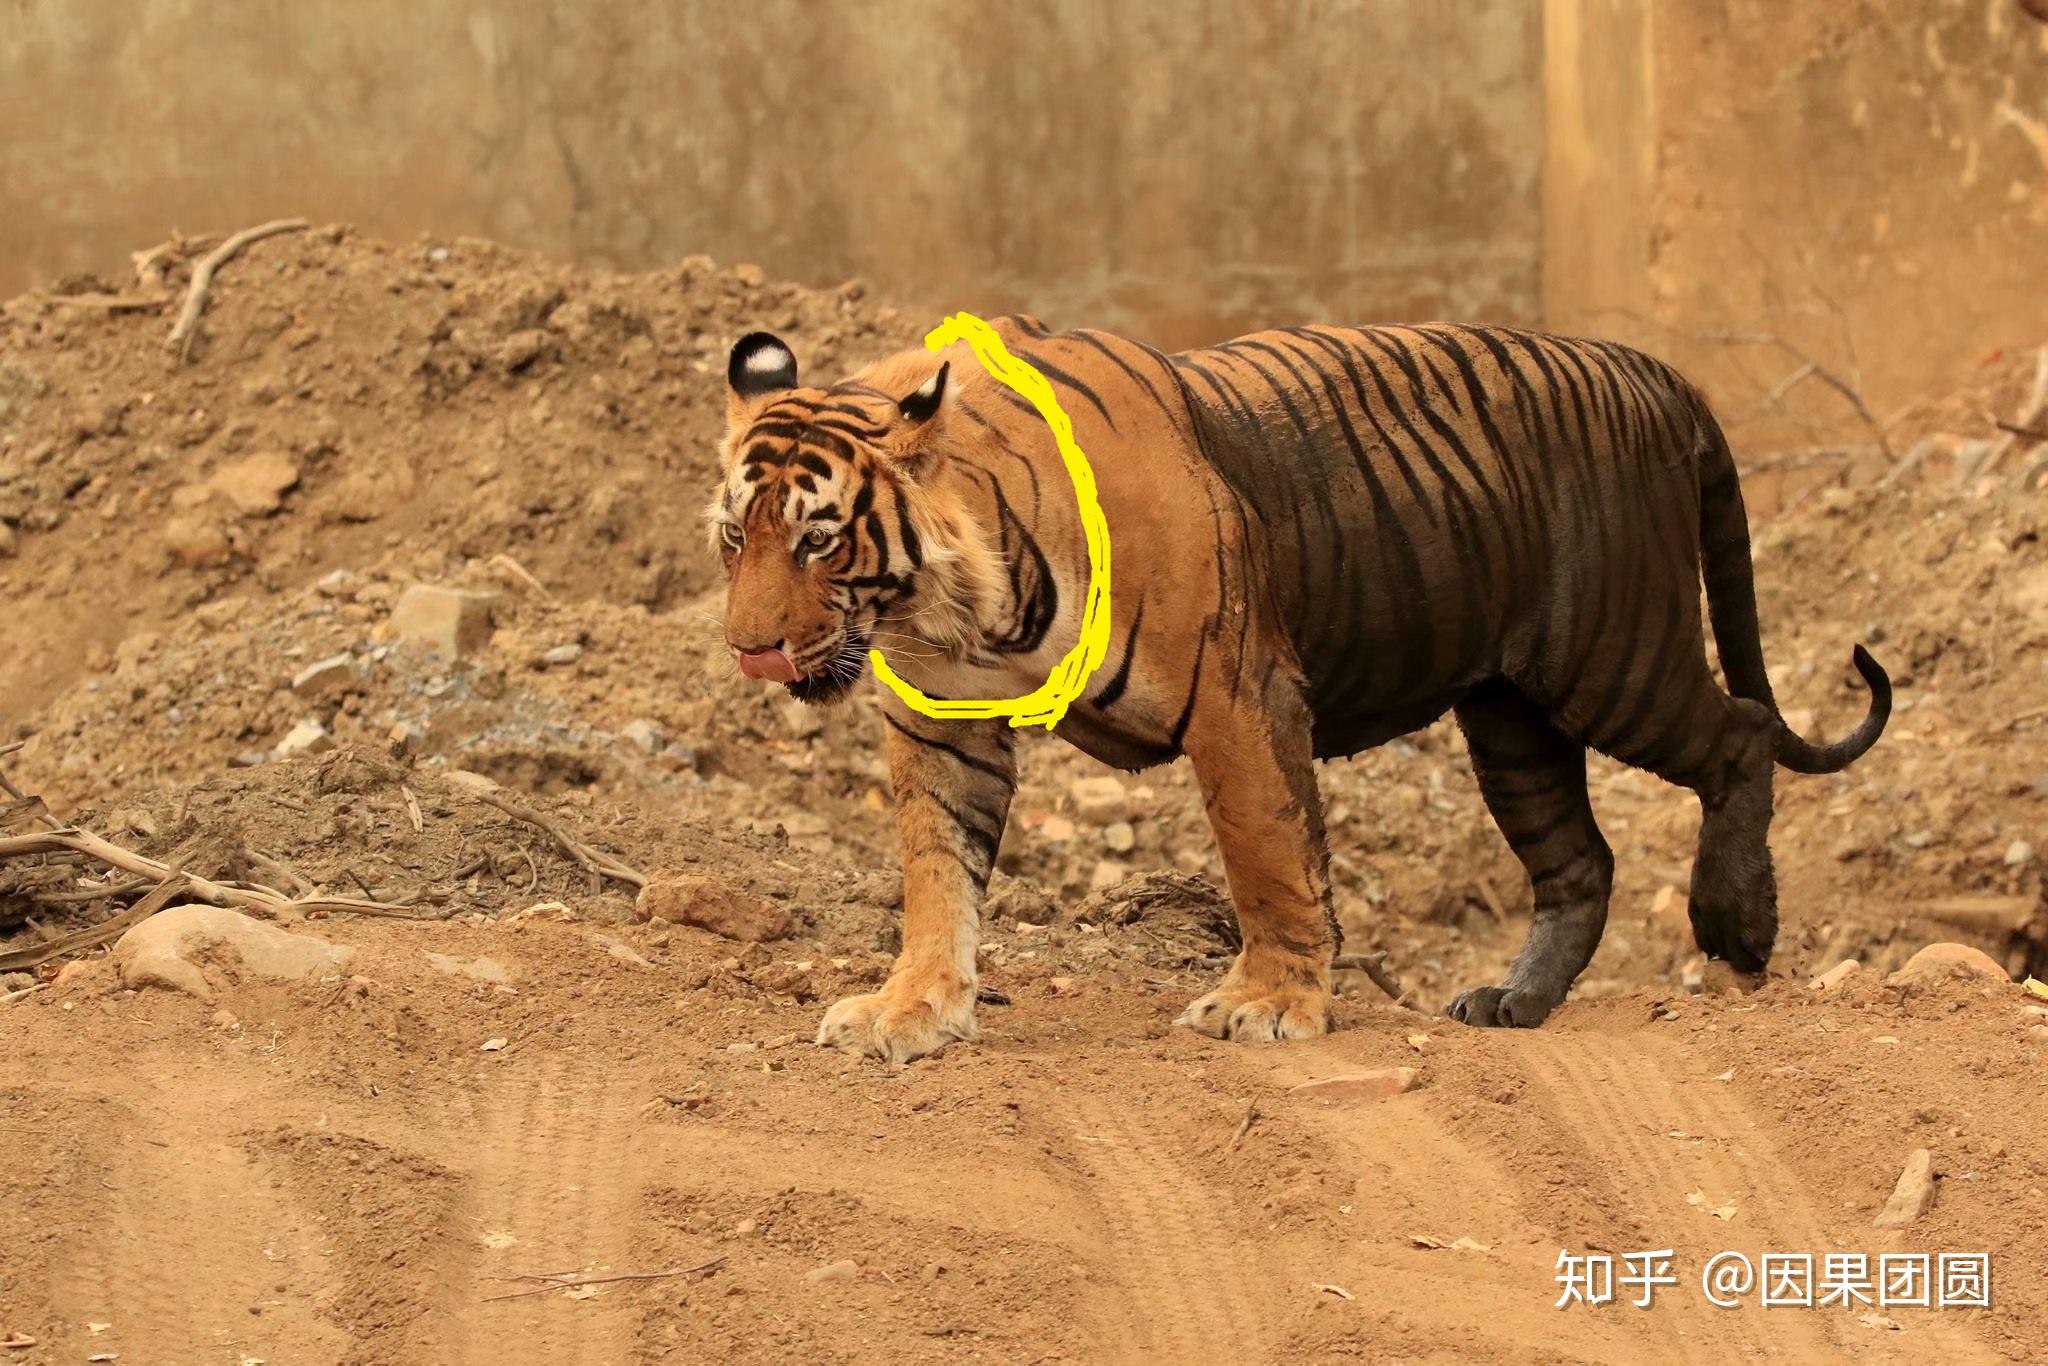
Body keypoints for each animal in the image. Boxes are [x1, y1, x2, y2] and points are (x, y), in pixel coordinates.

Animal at [707, 316, 1890, 1062]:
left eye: (819, 540)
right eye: (733, 538)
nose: (749, 648)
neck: (961, 601)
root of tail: (1656, 371)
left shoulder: (1238, 692)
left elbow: (1266, 854)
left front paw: (1267, 1007)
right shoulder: (946, 717)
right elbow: (934, 869)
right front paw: (909, 1012)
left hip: (1610, 655)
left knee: (1739, 733)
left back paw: (1738, 926)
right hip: (1509, 714)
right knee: (1578, 860)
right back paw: (1512, 1001)